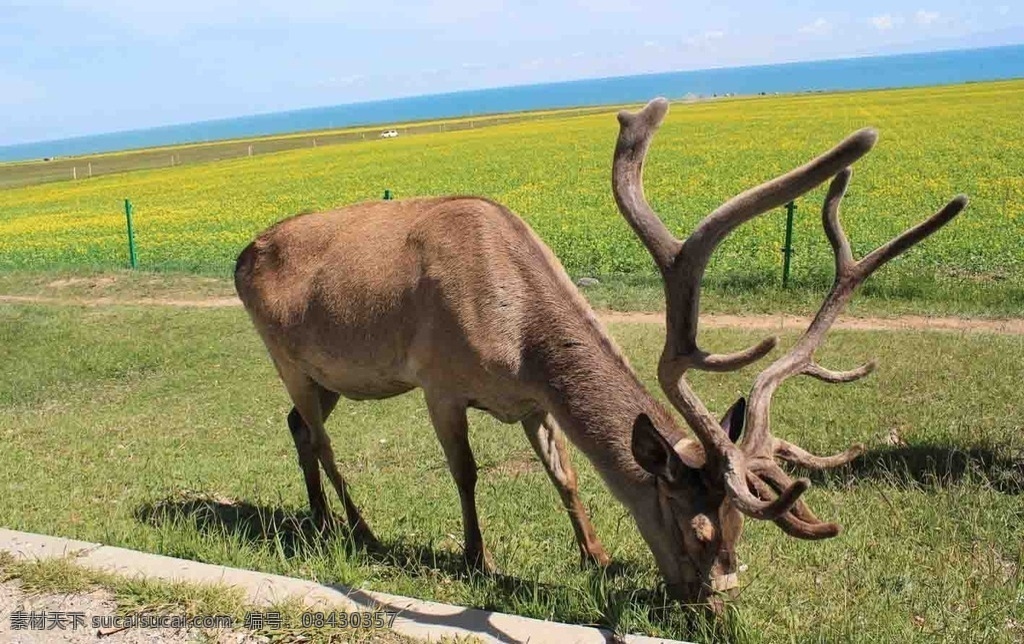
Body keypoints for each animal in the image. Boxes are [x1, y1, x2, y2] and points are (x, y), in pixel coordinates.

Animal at [233, 97, 967, 607]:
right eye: (698, 531)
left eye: (739, 526)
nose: (715, 603)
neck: (516, 339)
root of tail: (241, 255)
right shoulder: (438, 382)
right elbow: (466, 473)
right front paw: (479, 559)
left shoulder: (533, 399)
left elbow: (566, 475)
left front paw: (598, 555)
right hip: (282, 353)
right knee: (320, 437)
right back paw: (358, 528)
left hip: (325, 374)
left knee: (297, 426)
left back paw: (319, 518)